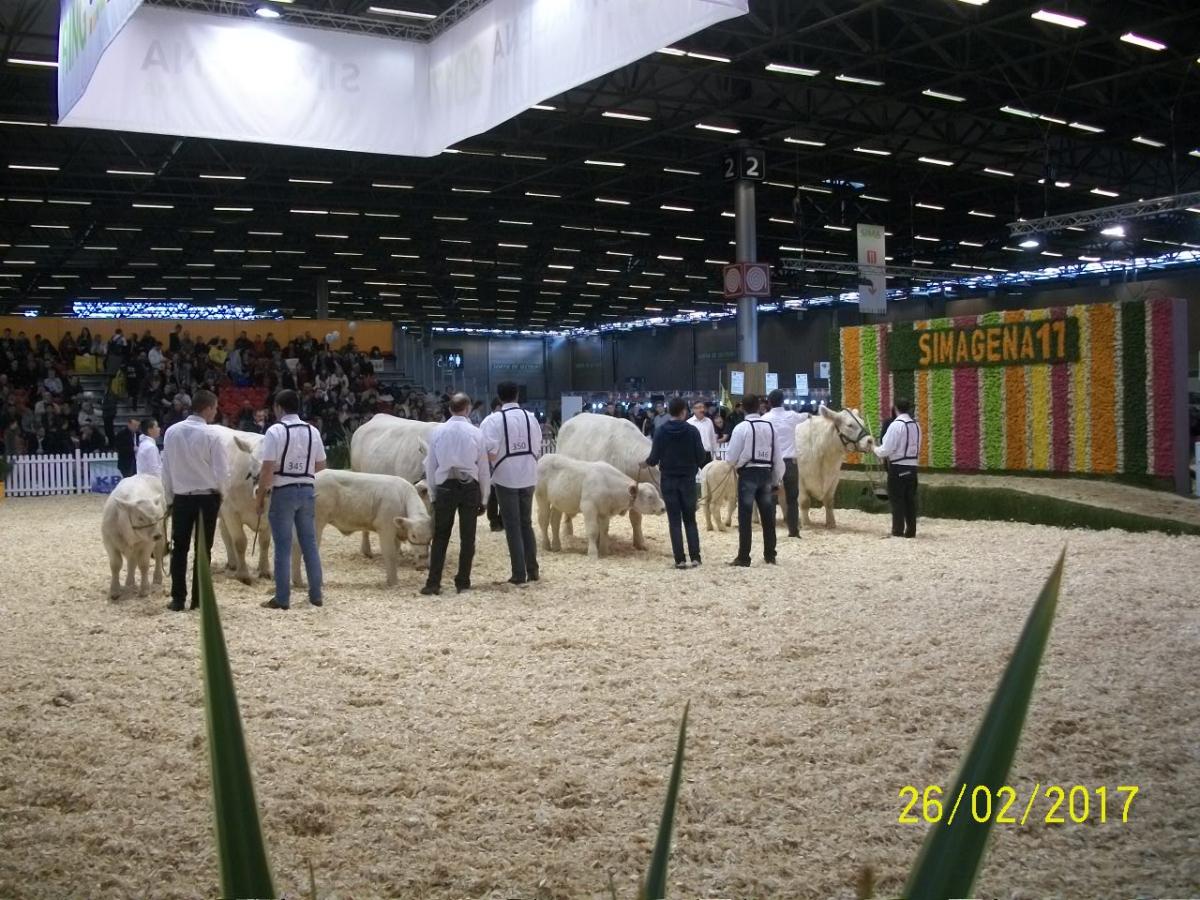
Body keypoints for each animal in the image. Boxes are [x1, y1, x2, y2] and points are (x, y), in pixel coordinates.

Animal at [290, 469, 433, 588]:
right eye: (413, 535)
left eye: (430, 538)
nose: (423, 558)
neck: (403, 498)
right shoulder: (385, 528)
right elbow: (390, 554)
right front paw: (393, 583)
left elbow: (395, 553)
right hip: (316, 521)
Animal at [535, 454, 665, 559]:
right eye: (649, 496)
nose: (663, 508)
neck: (608, 484)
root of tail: (544, 457)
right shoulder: (588, 507)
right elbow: (593, 531)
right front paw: (593, 553)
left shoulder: (604, 511)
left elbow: (604, 530)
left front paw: (604, 551)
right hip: (542, 498)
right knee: (543, 520)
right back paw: (546, 545)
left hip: (558, 503)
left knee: (554, 521)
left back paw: (556, 546)